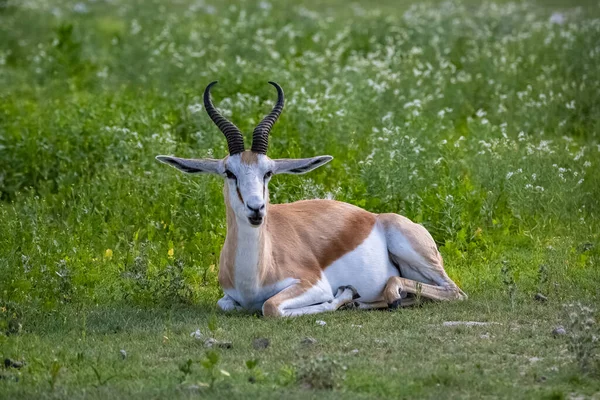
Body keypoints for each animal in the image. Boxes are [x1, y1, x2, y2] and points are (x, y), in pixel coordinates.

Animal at [157, 81, 466, 318]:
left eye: (268, 172)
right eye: (229, 173)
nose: (256, 209)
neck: (255, 276)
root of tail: (372, 217)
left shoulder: (314, 284)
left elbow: (271, 307)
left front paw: (344, 296)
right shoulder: (228, 299)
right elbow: (231, 305)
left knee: (454, 292)